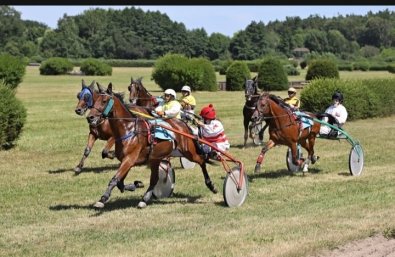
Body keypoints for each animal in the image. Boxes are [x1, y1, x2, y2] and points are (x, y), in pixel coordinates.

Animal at [87, 83, 218, 207]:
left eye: (104, 101)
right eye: (94, 99)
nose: (90, 117)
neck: (129, 129)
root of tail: (182, 124)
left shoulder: (129, 159)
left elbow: (115, 179)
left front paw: (103, 199)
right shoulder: (127, 161)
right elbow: (120, 182)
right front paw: (136, 184)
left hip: (188, 152)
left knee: (201, 161)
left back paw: (211, 186)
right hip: (155, 158)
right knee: (154, 179)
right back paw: (144, 200)